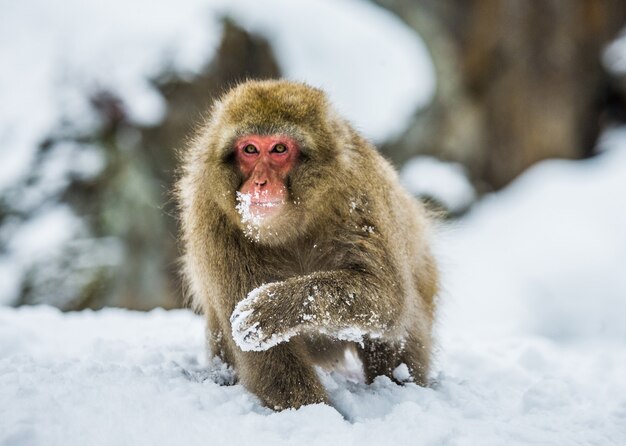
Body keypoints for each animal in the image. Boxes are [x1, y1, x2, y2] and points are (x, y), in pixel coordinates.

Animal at [177, 79, 438, 408]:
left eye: (279, 149)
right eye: (249, 149)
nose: (259, 183)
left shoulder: (359, 193)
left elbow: (387, 296)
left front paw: (275, 308)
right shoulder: (213, 217)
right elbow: (271, 356)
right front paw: (313, 410)